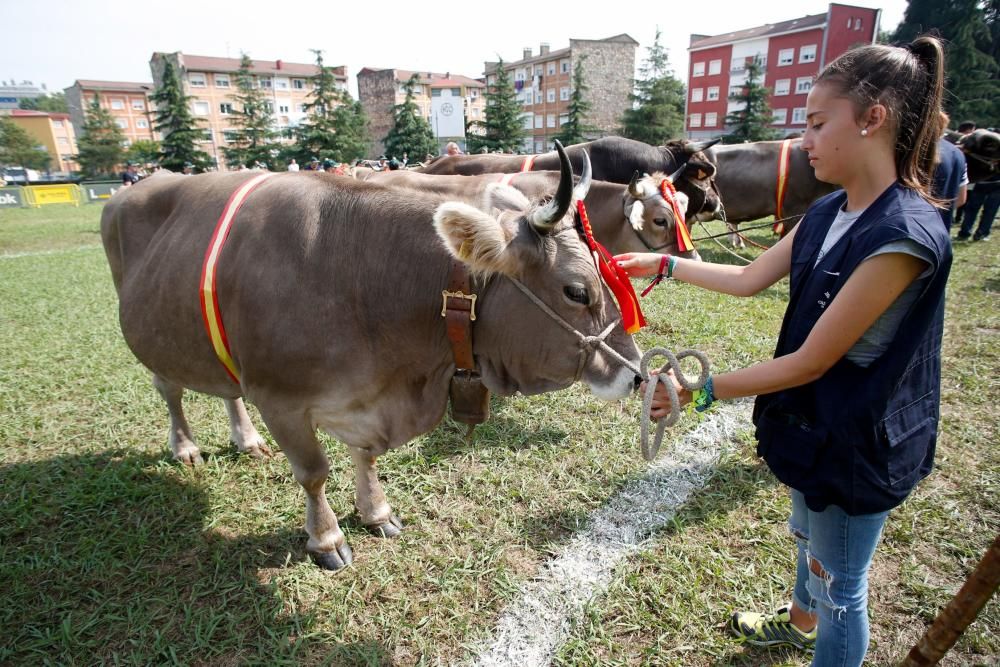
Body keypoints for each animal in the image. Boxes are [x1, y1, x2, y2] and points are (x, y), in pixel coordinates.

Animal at [99, 145, 640, 568]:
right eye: (577, 291)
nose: (635, 375)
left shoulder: (369, 397)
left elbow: (366, 455)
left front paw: (375, 511)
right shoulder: (280, 399)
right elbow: (314, 472)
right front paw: (326, 538)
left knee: (225, 390)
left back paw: (246, 439)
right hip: (153, 339)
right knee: (170, 390)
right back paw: (184, 447)